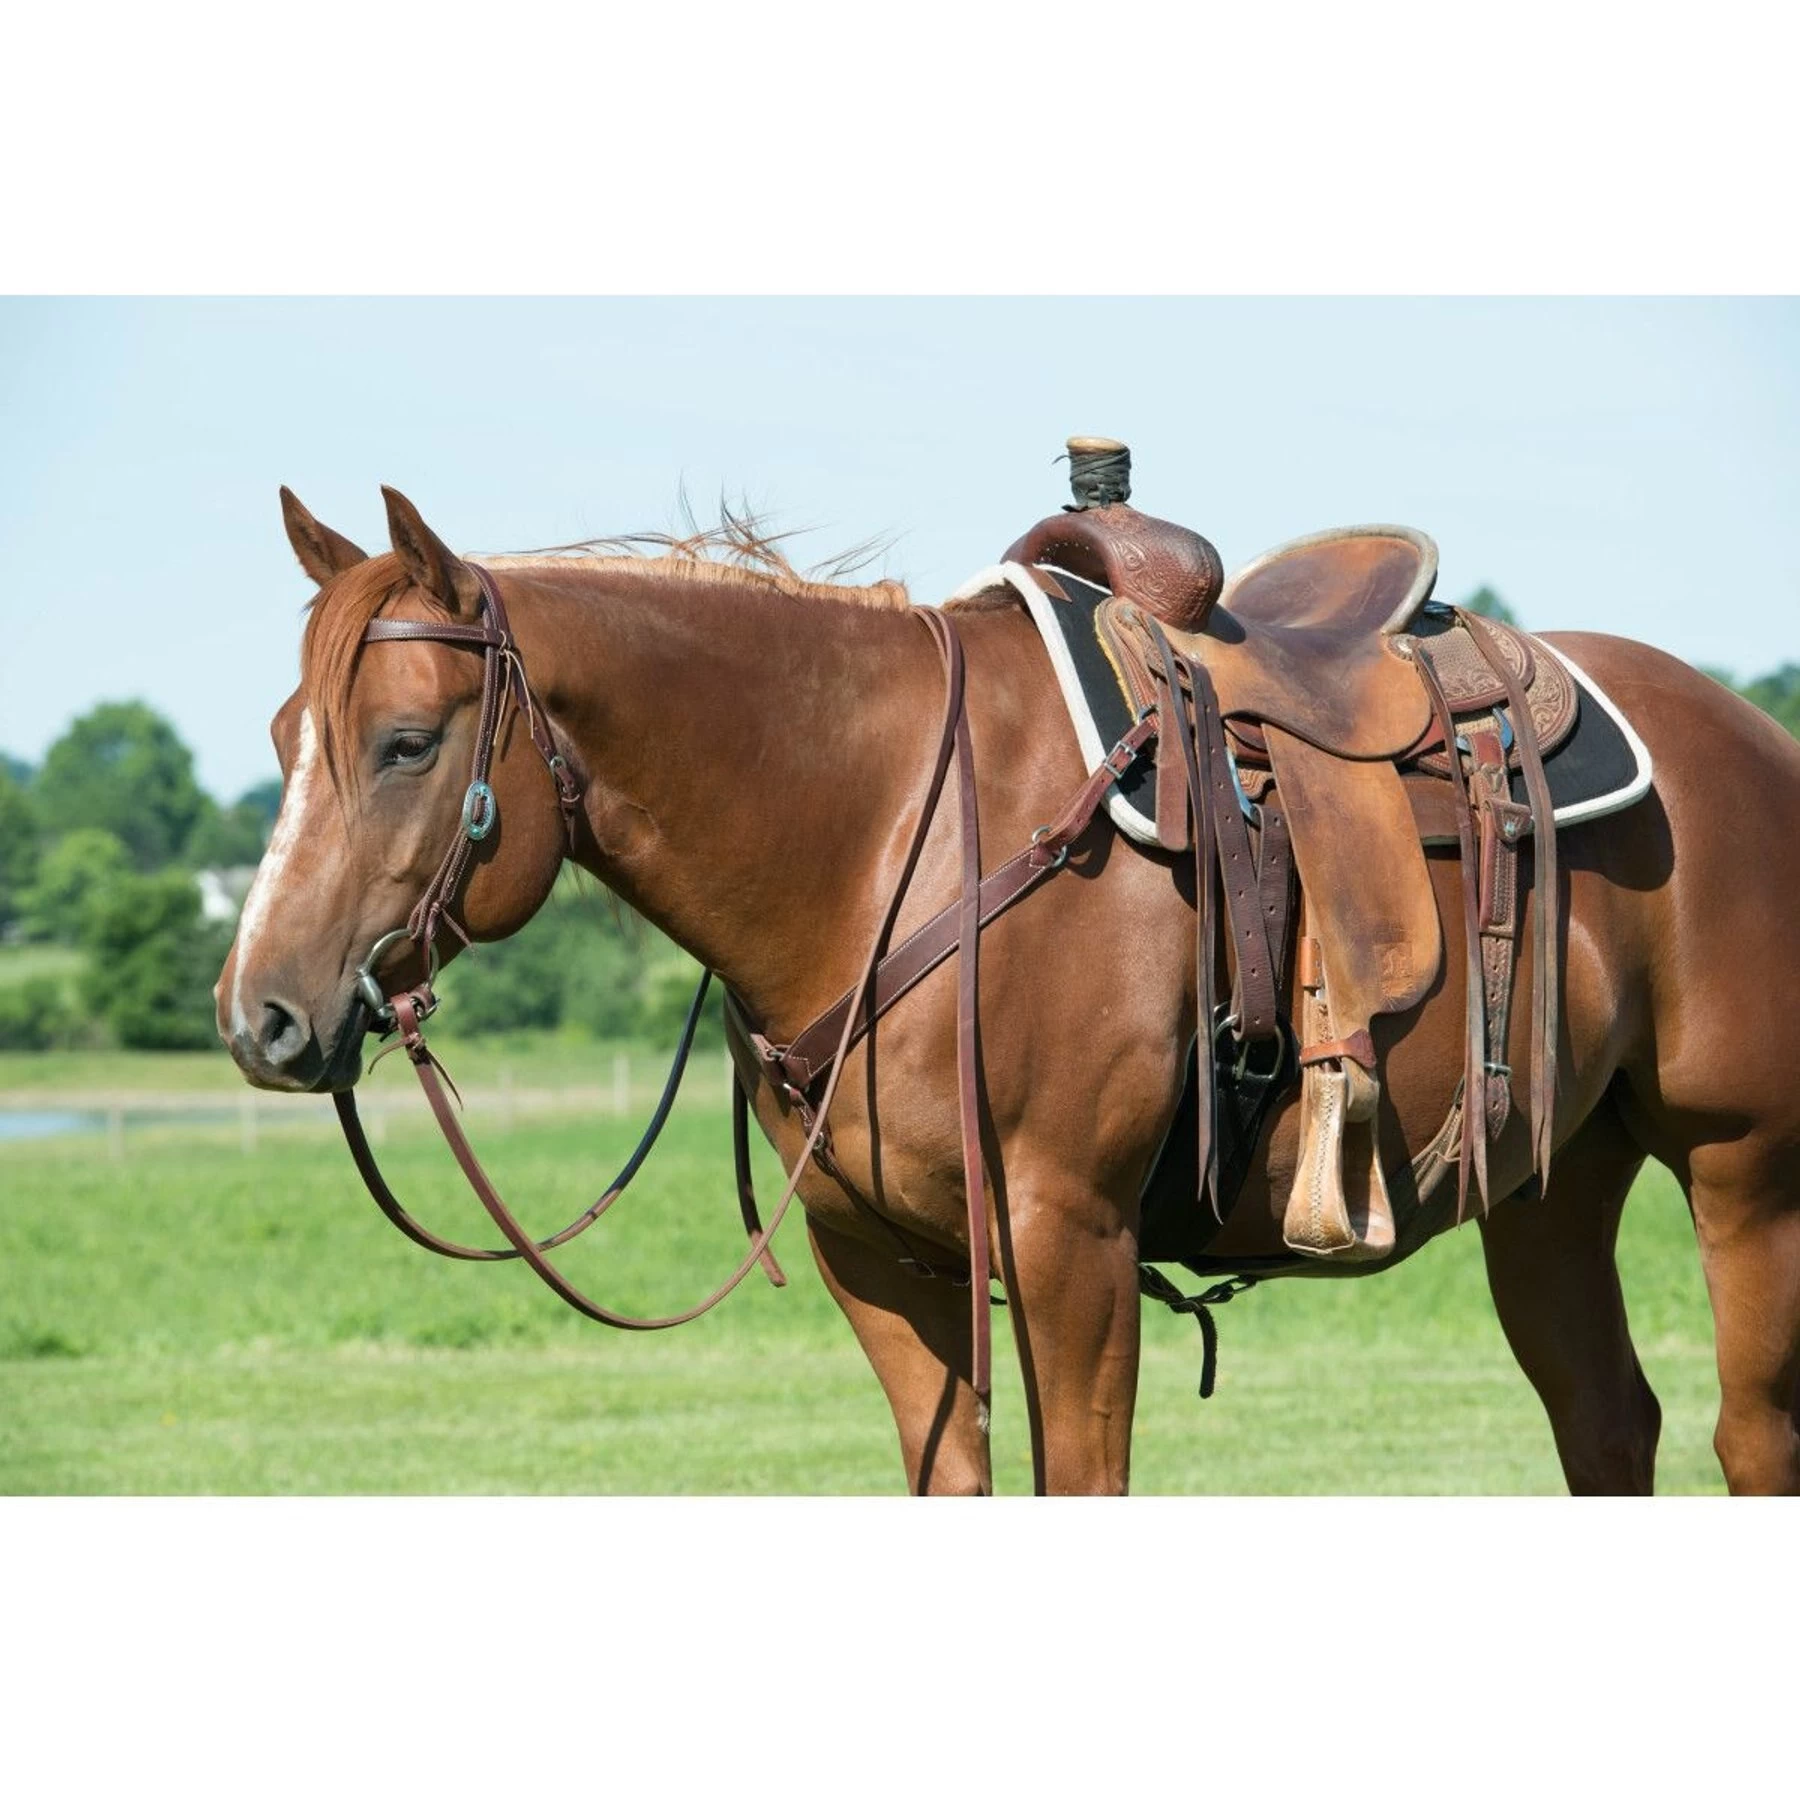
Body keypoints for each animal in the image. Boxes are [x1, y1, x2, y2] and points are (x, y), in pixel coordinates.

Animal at [217, 482, 1800, 1495]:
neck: (875, 841)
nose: (260, 1018)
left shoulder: (1067, 1239)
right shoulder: (878, 1265)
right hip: (1549, 1180)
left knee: (1748, 1440)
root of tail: (1751, 736)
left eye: (408, 743)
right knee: (1609, 1426)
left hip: (1741, 1173)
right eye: (289, 734)